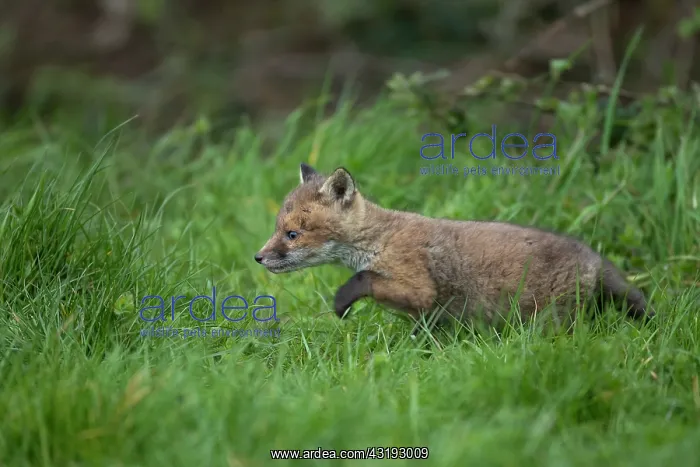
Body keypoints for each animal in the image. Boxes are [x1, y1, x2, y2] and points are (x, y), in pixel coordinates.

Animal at [254, 163, 655, 334]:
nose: (258, 257)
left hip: (552, 319)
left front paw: (341, 303)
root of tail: (593, 257)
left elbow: (363, 279)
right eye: (278, 229)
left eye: (292, 234)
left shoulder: (419, 289)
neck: (380, 239)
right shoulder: (428, 312)